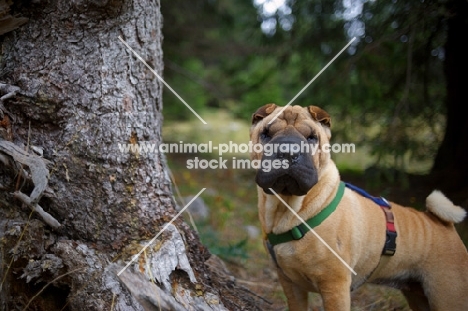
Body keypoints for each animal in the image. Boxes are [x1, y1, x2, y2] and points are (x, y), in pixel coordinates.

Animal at [250, 103, 468, 310]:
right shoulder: (291, 286)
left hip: (448, 297)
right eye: (266, 134)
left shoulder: (334, 286)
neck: (289, 208)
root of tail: (442, 223)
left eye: (312, 137)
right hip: (418, 297)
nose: (287, 151)